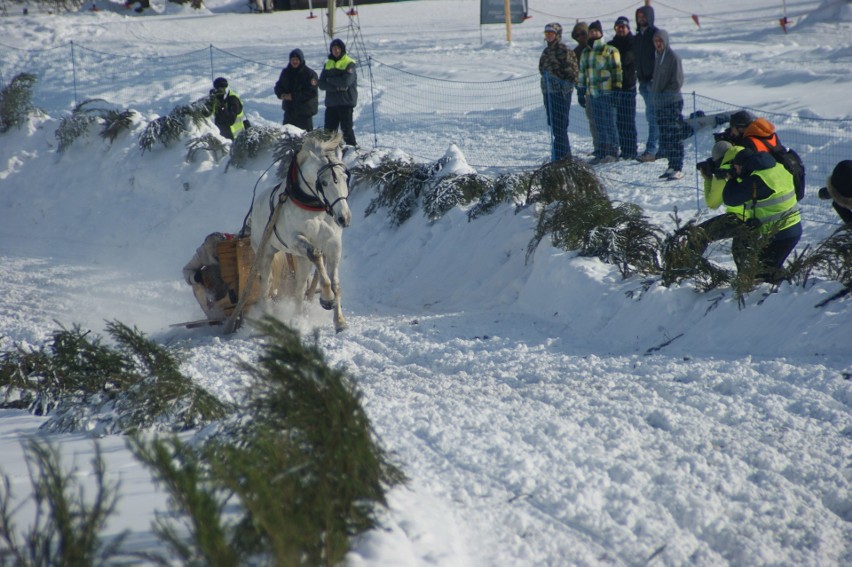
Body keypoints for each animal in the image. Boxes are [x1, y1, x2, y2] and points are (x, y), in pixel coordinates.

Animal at [250, 131, 352, 336]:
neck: (315, 208)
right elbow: (317, 256)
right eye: (324, 182)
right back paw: (268, 316)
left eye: (345, 178)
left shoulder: (333, 245)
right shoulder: (296, 240)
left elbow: (335, 283)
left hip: (300, 258)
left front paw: (339, 321)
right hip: (265, 252)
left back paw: (298, 319)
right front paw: (327, 298)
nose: (344, 218)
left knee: (298, 288)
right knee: (266, 284)